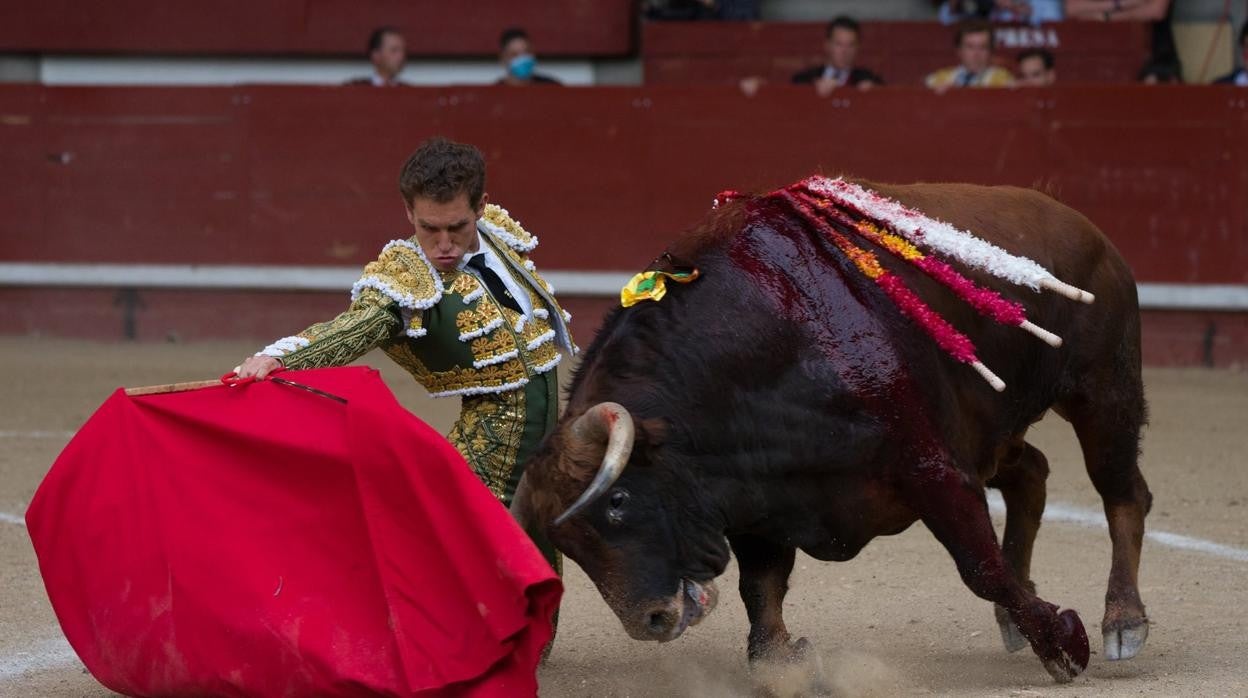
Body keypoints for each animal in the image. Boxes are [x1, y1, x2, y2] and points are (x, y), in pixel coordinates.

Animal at [509, 177, 1148, 684]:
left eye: (617, 500)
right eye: (568, 545)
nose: (652, 621)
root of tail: (1085, 227)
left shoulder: (932, 470)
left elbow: (981, 568)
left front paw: (1064, 644)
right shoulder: (755, 497)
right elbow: (760, 590)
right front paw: (787, 663)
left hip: (1102, 391)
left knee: (1122, 494)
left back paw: (1122, 623)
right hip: (991, 429)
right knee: (1032, 475)